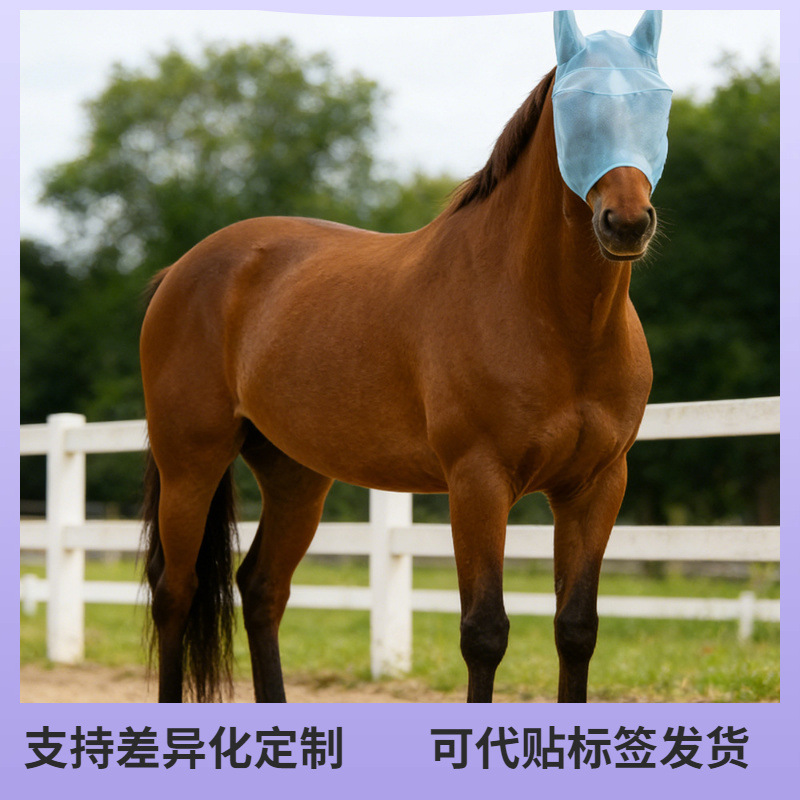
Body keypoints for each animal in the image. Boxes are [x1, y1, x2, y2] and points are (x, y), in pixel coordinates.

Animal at [140, 10, 672, 703]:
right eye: (573, 105)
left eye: (659, 101)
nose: (626, 223)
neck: (555, 318)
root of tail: (179, 270)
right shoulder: (477, 483)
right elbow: (485, 633)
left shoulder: (597, 486)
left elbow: (576, 630)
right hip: (190, 465)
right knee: (176, 593)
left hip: (295, 475)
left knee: (261, 590)